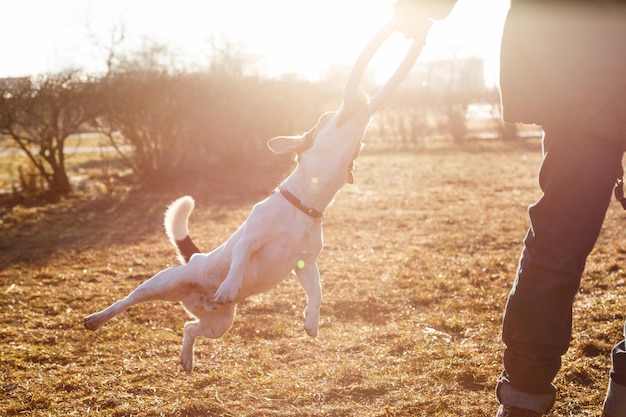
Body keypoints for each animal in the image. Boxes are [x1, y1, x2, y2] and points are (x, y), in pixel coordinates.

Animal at [86, 91, 372, 370]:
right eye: (324, 119)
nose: (354, 105)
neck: (302, 205)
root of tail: (194, 258)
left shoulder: (305, 262)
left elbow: (317, 291)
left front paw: (311, 320)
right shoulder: (249, 241)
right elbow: (239, 262)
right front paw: (229, 286)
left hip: (219, 325)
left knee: (189, 328)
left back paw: (187, 358)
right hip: (162, 284)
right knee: (126, 301)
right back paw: (97, 318)